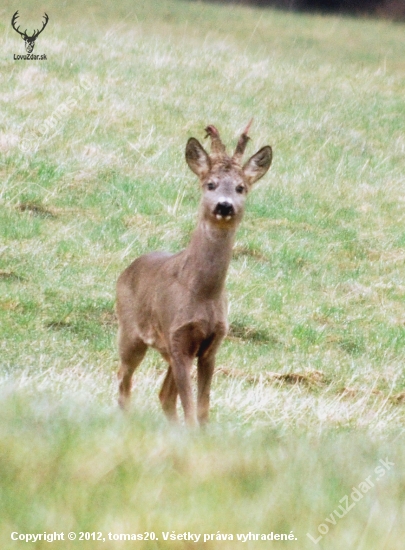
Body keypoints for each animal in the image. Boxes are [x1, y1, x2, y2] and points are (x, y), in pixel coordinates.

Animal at [115, 123, 272, 430]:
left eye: (241, 187)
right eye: (210, 184)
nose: (224, 206)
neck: (203, 292)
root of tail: (127, 270)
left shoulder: (211, 346)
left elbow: (202, 408)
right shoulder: (178, 338)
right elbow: (189, 406)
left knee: (163, 395)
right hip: (130, 333)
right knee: (123, 383)